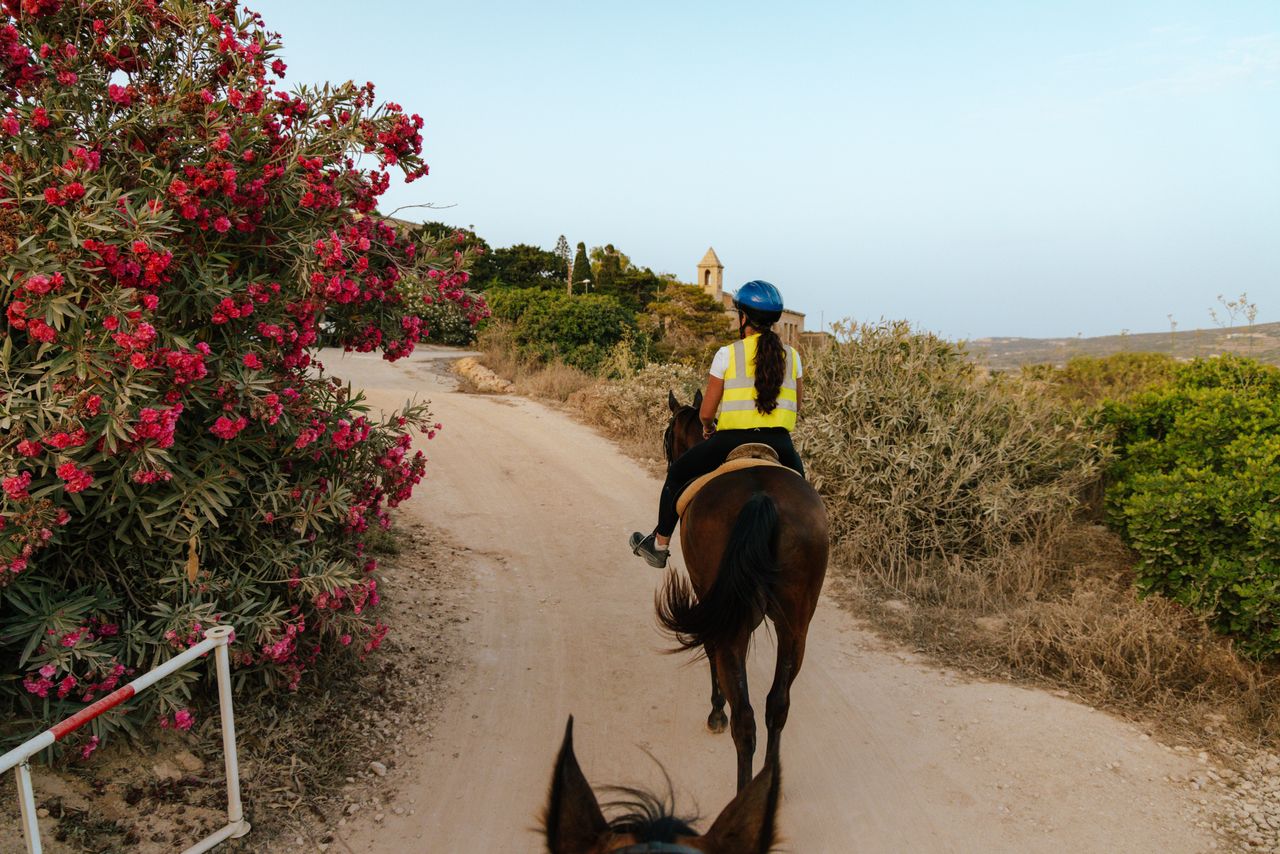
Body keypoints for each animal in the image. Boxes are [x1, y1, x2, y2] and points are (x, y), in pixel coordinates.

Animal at [655, 394, 824, 793]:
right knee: (778, 704)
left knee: (745, 719)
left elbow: (709, 650)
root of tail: (762, 497)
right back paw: (768, 779)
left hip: (736, 622)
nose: (667, 459)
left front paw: (716, 709)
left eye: (668, 436)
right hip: (796, 624)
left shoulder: (707, 598)